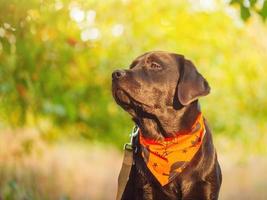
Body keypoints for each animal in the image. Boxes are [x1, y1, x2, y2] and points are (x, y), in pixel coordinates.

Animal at [112, 51, 223, 200]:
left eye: (155, 65)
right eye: (132, 66)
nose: (115, 74)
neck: (167, 140)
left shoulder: (204, 186)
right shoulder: (146, 188)